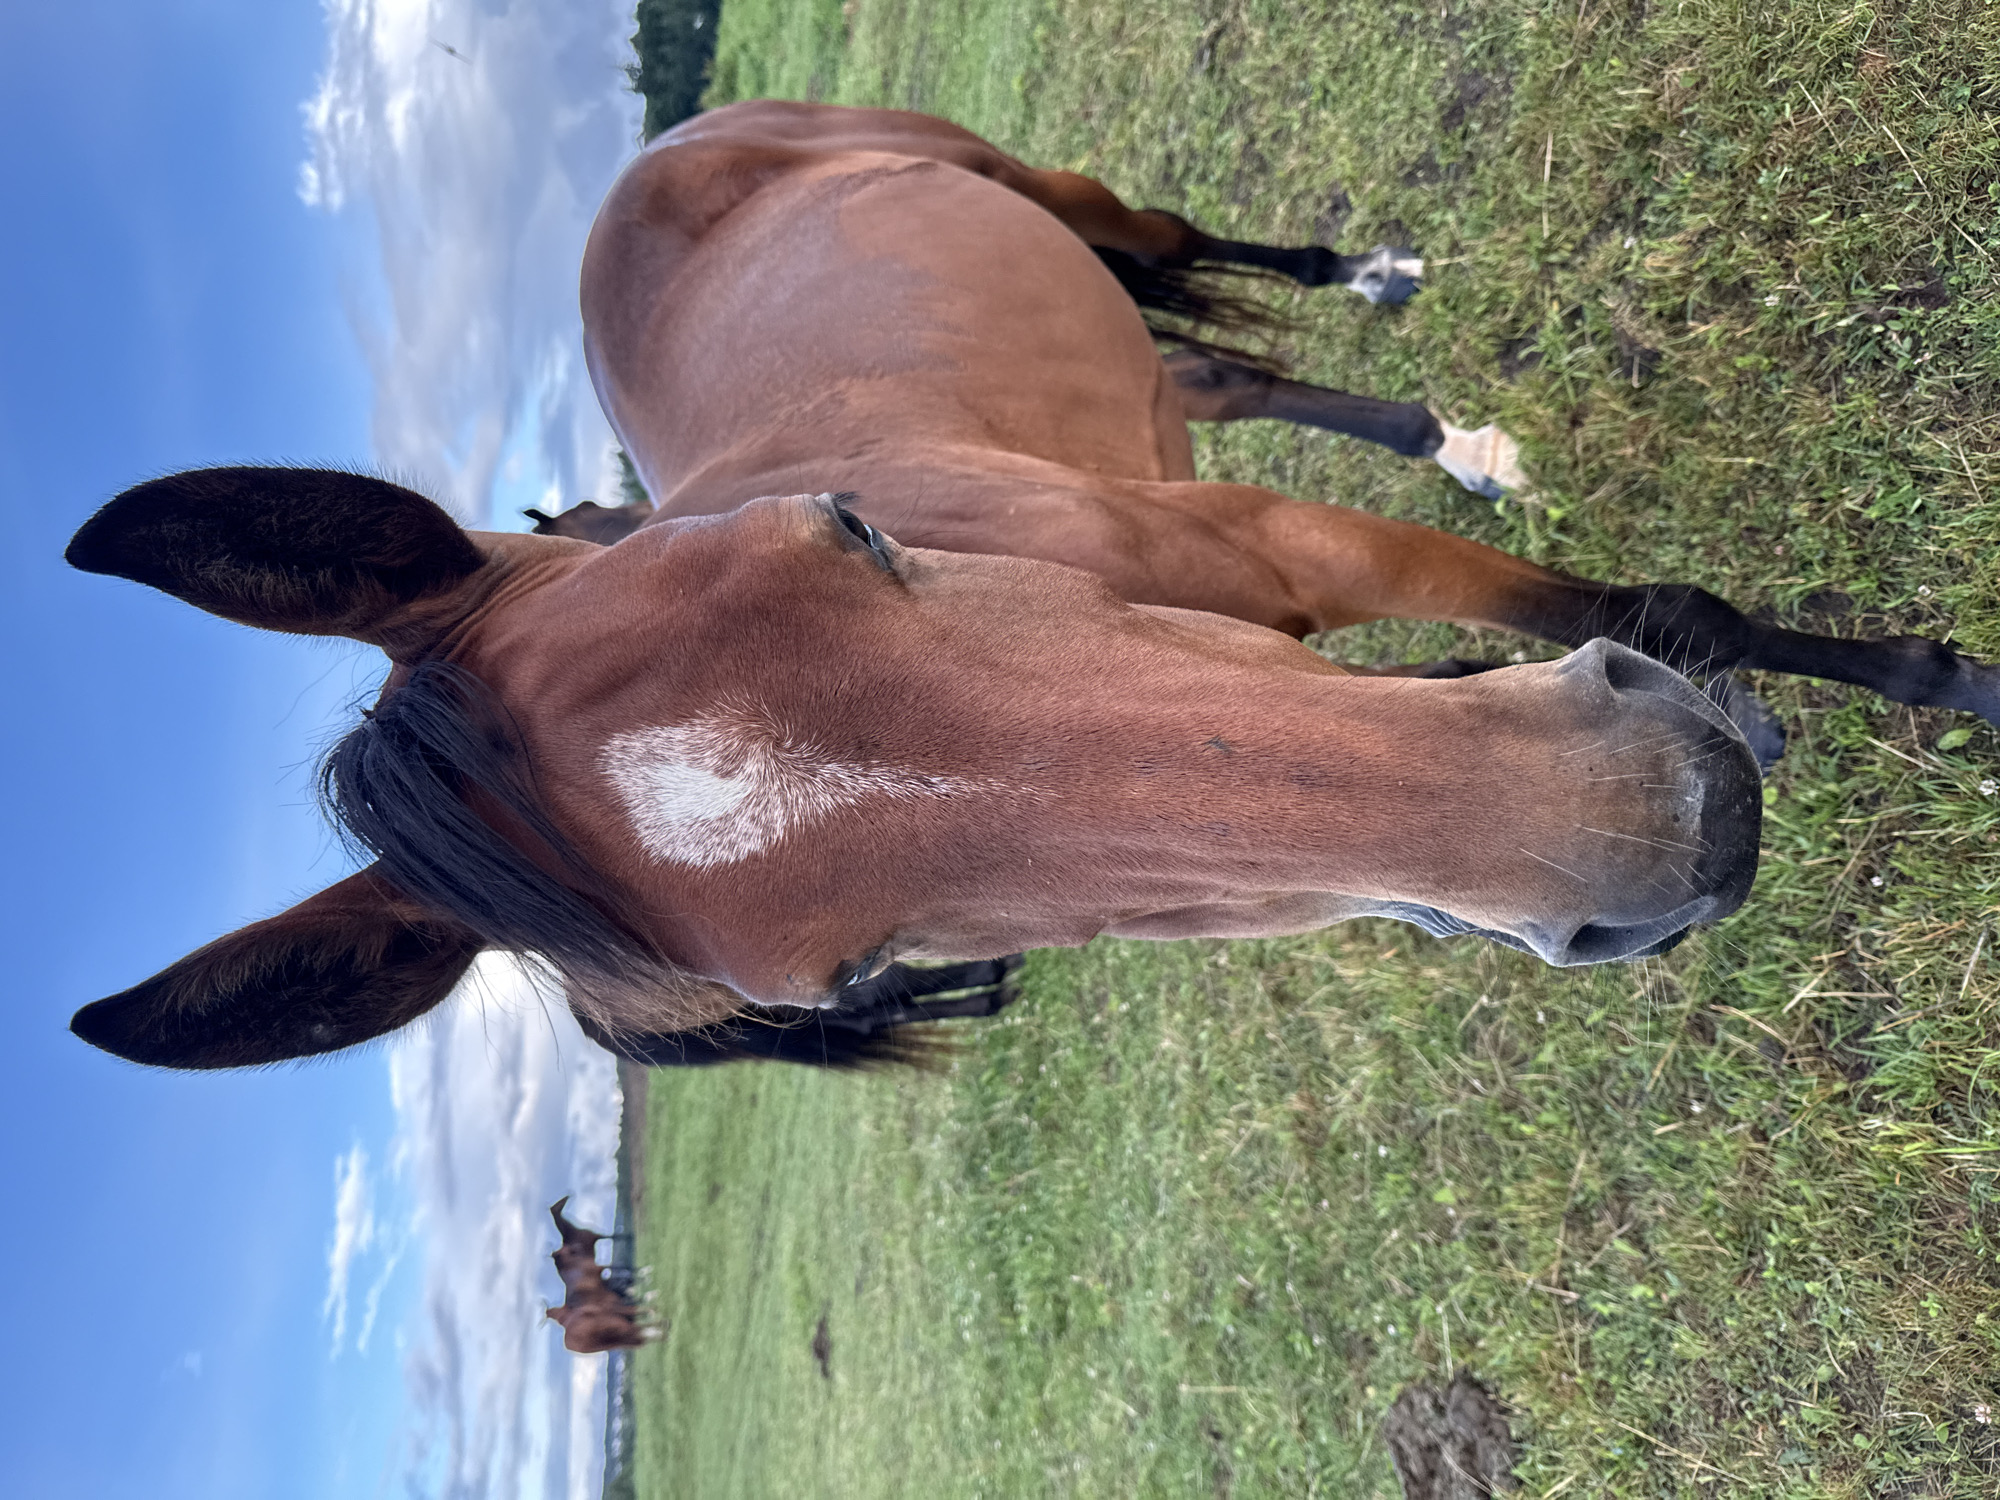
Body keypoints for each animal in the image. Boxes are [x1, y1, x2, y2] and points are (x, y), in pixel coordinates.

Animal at [85, 97, 1991, 1072]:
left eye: (847, 533)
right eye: (842, 987)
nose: (1665, 817)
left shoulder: (1312, 552)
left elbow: (1666, 617)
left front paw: (1946, 684)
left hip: (1029, 180)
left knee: (1187, 251)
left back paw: (1375, 289)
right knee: (1211, 372)